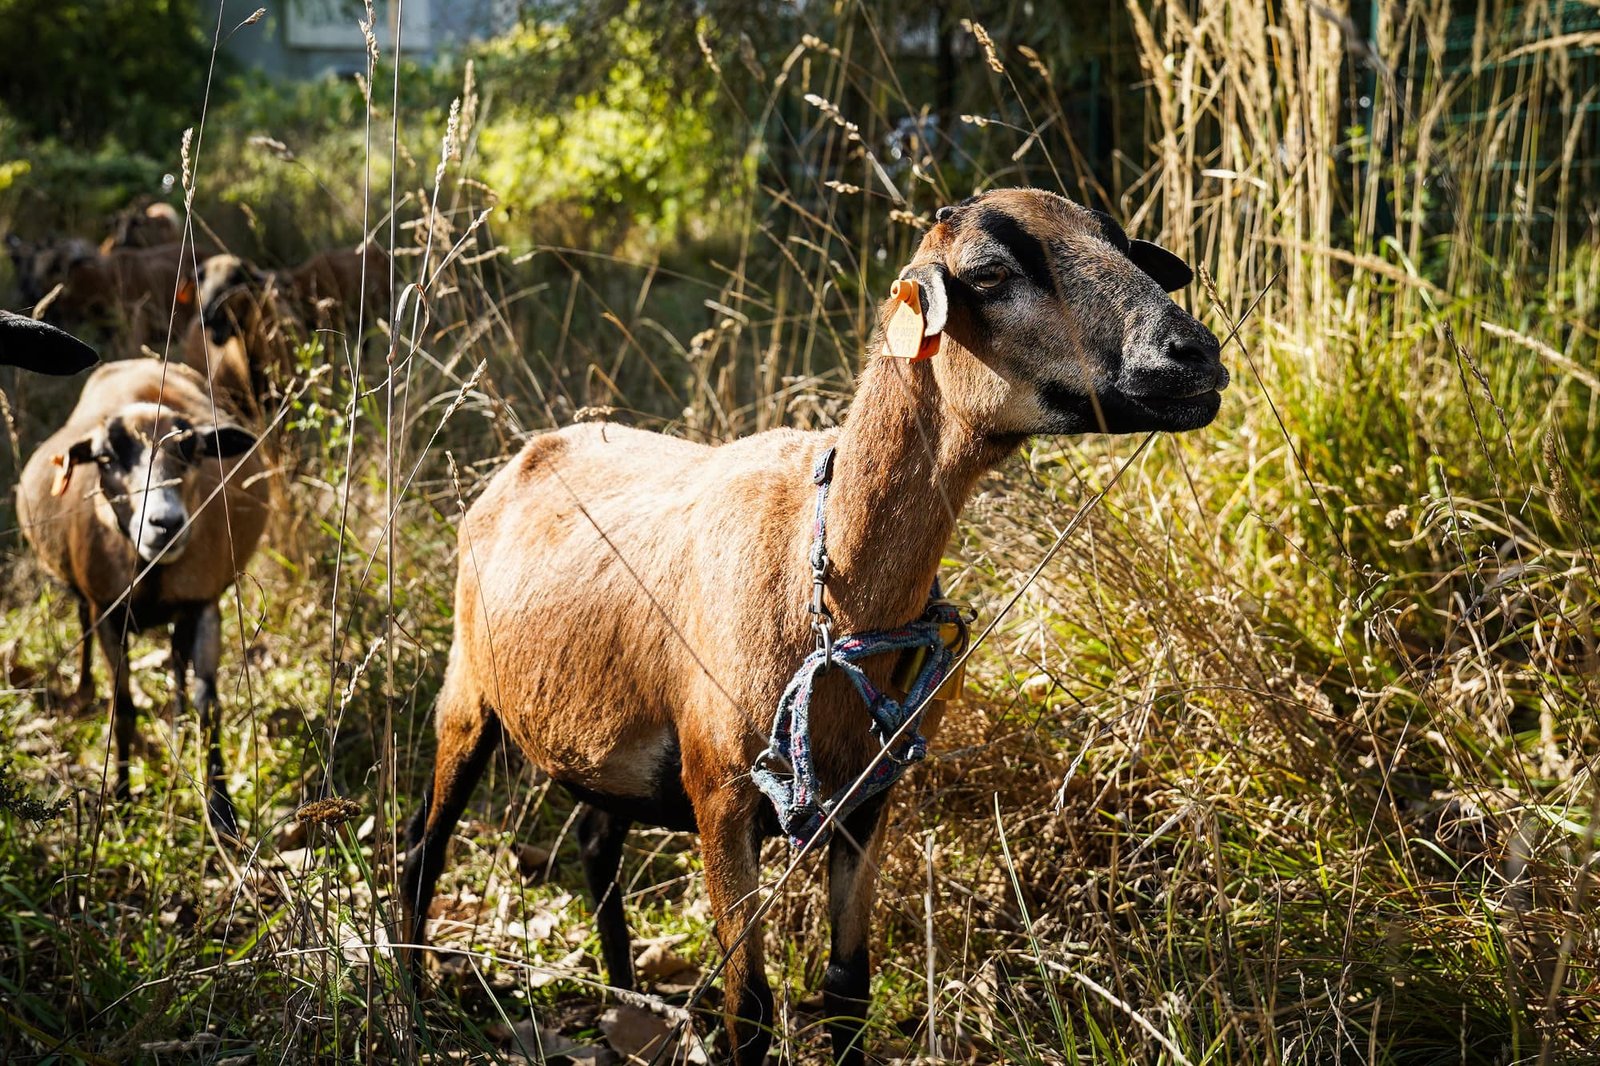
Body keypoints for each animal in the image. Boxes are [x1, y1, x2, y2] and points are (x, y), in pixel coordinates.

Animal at [16, 356, 268, 832]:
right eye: (105, 458)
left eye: (193, 450)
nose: (166, 524)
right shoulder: (108, 615)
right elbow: (125, 706)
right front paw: (120, 796)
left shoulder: (204, 604)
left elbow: (210, 704)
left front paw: (222, 812)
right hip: (86, 597)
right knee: (85, 627)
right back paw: (82, 691)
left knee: (177, 657)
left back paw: (178, 719)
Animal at [400, 186, 1222, 1056]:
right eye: (992, 273)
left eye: (1124, 245)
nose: (1194, 354)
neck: (822, 571)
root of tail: (532, 450)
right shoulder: (723, 793)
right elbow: (750, 1009)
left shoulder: (867, 800)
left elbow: (845, 990)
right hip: (468, 693)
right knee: (423, 846)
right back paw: (414, 1005)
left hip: (610, 732)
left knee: (594, 842)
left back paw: (625, 999)